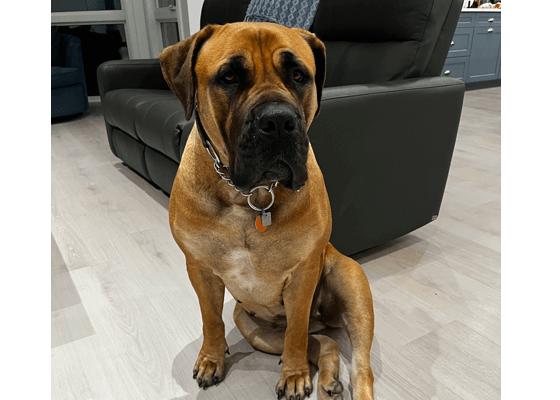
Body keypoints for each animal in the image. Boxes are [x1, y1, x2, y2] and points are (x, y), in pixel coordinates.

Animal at [160, 22, 374, 400]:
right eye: (229, 76)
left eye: (299, 75)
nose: (278, 121)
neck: (252, 196)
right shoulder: (200, 270)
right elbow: (210, 319)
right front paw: (211, 358)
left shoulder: (303, 274)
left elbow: (296, 331)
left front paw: (295, 375)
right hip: (250, 325)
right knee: (323, 342)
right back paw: (329, 380)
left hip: (352, 287)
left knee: (354, 361)